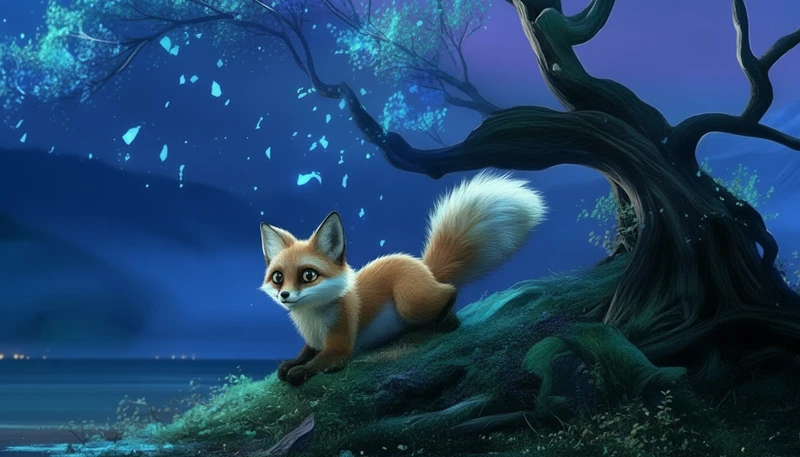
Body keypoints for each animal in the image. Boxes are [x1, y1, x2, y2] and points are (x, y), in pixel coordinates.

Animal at [259, 171, 547, 386]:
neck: (313, 322)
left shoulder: (340, 344)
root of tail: (423, 267)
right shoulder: (313, 341)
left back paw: (443, 322)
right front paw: (290, 363)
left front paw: (300, 371)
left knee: (450, 291)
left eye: (308, 275)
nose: (285, 296)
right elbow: (303, 354)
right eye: (278, 278)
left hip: (410, 302)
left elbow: (320, 362)